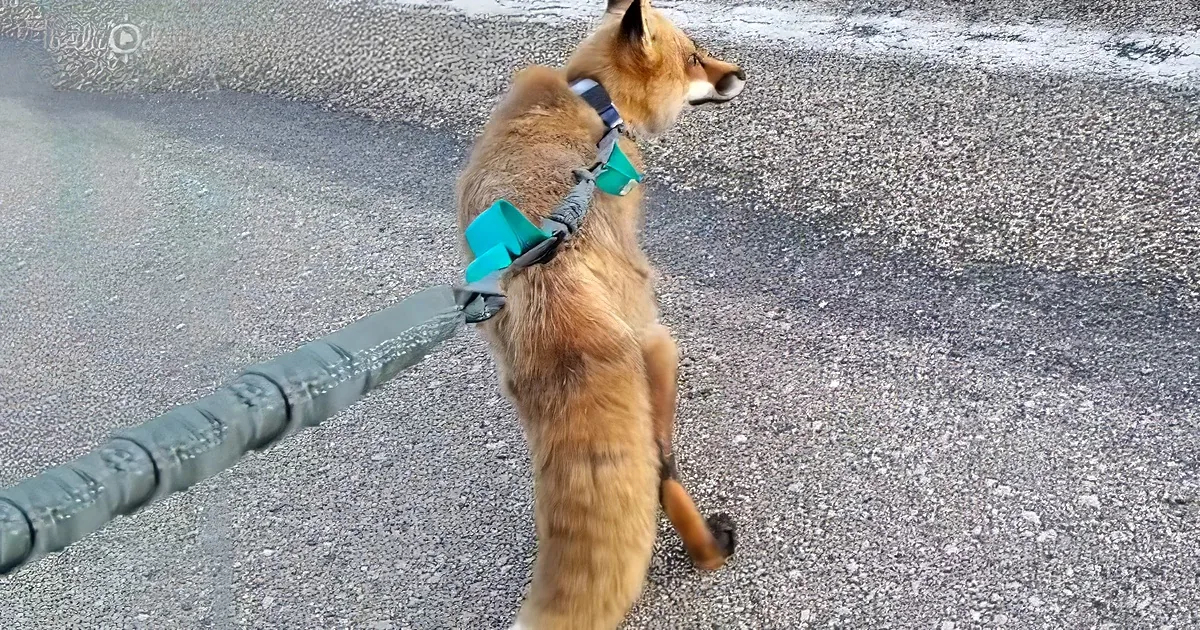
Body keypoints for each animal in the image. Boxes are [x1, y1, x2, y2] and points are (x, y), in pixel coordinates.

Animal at [454, 0, 748, 628]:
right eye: (694, 57)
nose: (740, 73)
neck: (594, 100)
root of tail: (540, 271)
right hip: (657, 346)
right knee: (661, 468)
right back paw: (709, 551)